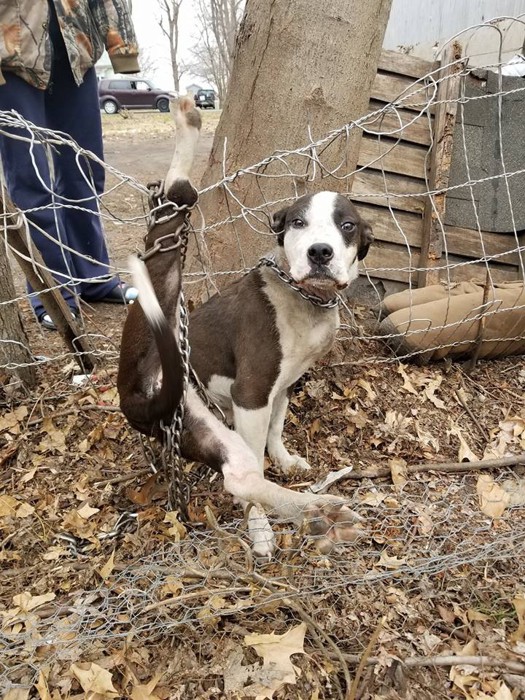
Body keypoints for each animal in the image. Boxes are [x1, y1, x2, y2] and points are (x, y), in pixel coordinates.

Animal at [116, 98, 370, 556]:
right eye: (297, 223)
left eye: (348, 226)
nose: (319, 252)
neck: (305, 299)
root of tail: (131, 394)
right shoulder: (250, 396)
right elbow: (259, 446)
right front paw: (259, 526)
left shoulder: (283, 385)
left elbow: (277, 427)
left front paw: (285, 459)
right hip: (157, 337)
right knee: (242, 477)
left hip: (187, 414)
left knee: (239, 474)